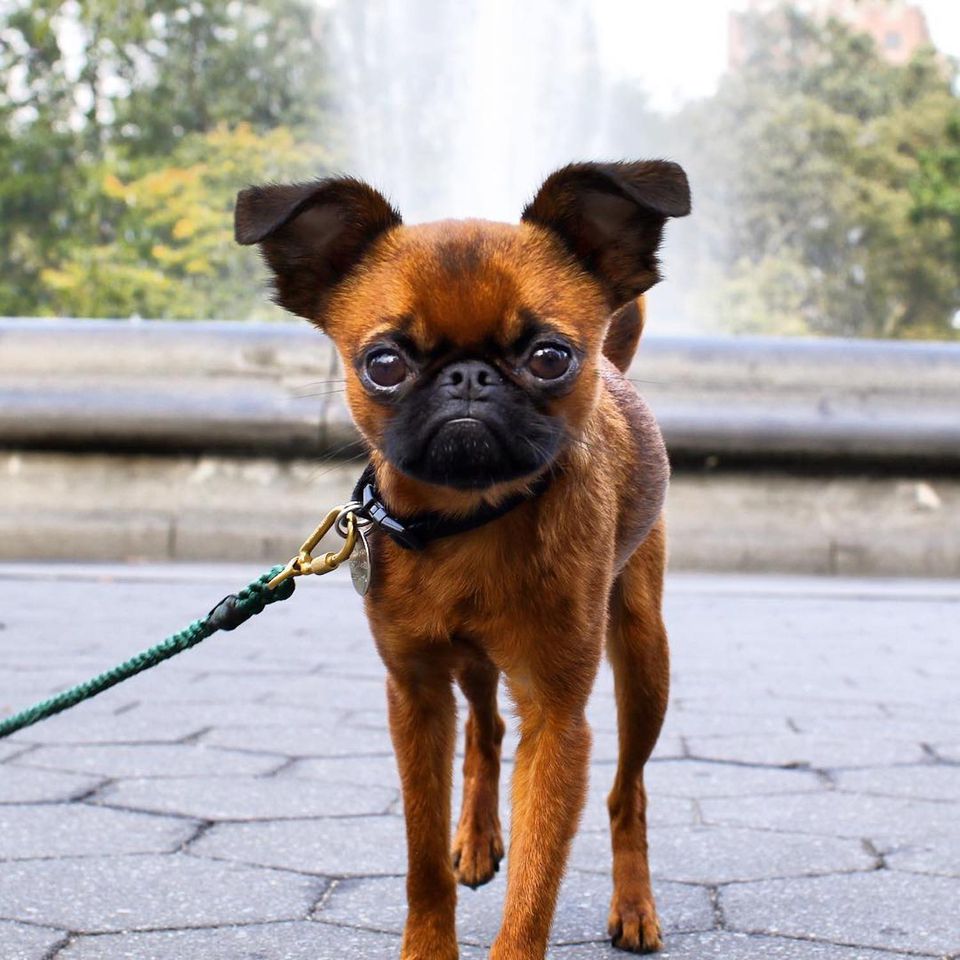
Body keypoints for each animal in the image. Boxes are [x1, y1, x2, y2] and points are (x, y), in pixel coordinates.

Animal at [237, 161, 692, 956]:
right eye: (384, 364)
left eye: (550, 357)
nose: (469, 378)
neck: (469, 522)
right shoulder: (415, 695)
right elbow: (422, 858)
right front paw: (429, 938)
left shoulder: (557, 720)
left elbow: (536, 887)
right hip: (474, 666)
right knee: (485, 728)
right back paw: (476, 838)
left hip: (643, 657)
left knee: (626, 789)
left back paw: (634, 904)